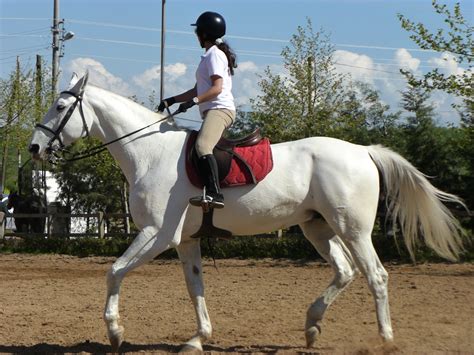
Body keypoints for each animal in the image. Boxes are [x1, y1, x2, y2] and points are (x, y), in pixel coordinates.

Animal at [28, 73, 462, 352]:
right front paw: (198, 338)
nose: (34, 148)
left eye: (61, 106)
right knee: (344, 272)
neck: (150, 152)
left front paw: (116, 332)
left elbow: (114, 271)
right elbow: (195, 288)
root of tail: (363, 151)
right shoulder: (184, 241)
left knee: (376, 275)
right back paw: (311, 326)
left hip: (352, 228)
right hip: (317, 227)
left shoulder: (156, 234)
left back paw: (384, 339)